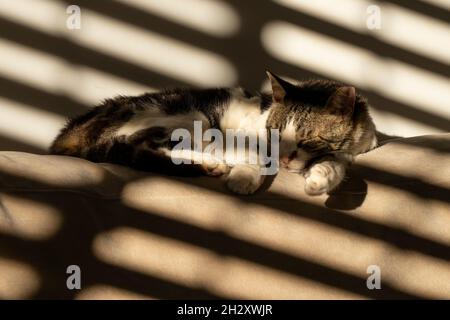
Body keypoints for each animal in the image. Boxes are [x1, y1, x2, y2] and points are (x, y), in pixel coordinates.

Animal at [51, 71, 378, 194]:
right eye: (273, 133)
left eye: (308, 140)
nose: (284, 159)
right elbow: (252, 153)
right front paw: (244, 178)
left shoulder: (350, 153)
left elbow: (334, 164)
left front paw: (319, 180)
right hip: (190, 115)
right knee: (135, 143)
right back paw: (211, 164)